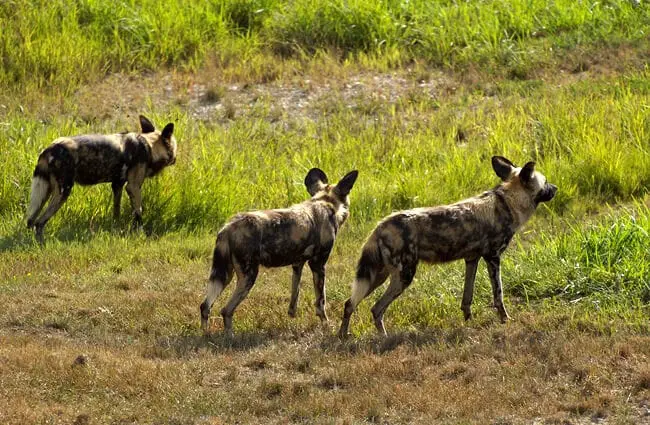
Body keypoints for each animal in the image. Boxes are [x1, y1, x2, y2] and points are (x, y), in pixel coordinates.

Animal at [26, 115, 177, 242]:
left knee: (31, 221)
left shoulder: (117, 185)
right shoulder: (133, 187)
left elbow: (116, 213)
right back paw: (41, 244)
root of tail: (48, 149)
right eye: (175, 148)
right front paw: (141, 234)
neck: (148, 144)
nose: (175, 159)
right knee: (39, 223)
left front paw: (116, 231)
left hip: (45, 193)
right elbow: (138, 213)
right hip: (63, 192)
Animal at [199, 167, 356, 332]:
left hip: (224, 275)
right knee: (226, 310)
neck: (324, 201)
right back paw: (229, 335)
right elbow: (321, 301)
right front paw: (326, 325)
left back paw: (206, 334)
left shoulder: (297, 264)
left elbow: (295, 292)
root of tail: (228, 228)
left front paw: (292, 314)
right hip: (248, 276)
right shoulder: (318, 265)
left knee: (205, 306)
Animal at [336, 156, 556, 338]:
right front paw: (505, 319)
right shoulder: (493, 258)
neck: (508, 202)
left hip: (377, 276)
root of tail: (380, 226)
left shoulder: (472, 259)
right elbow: (499, 295)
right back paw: (384, 338)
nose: (555, 188)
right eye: (545, 183)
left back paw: (343, 336)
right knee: (376, 308)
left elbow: (467, 297)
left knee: (349, 304)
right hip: (403, 276)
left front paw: (468, 320)